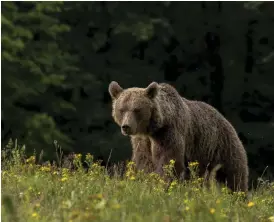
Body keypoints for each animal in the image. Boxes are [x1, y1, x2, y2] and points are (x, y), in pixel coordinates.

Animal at [108, 80, 248, 192]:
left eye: (137, 110)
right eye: (121, 109)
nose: (126, 126)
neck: (153, 129)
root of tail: (225, 119)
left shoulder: (169, 133)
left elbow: (169, 161)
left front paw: (165, 185)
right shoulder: (142, 141)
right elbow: (145, 162)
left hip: (221, 147)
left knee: (233, 175)